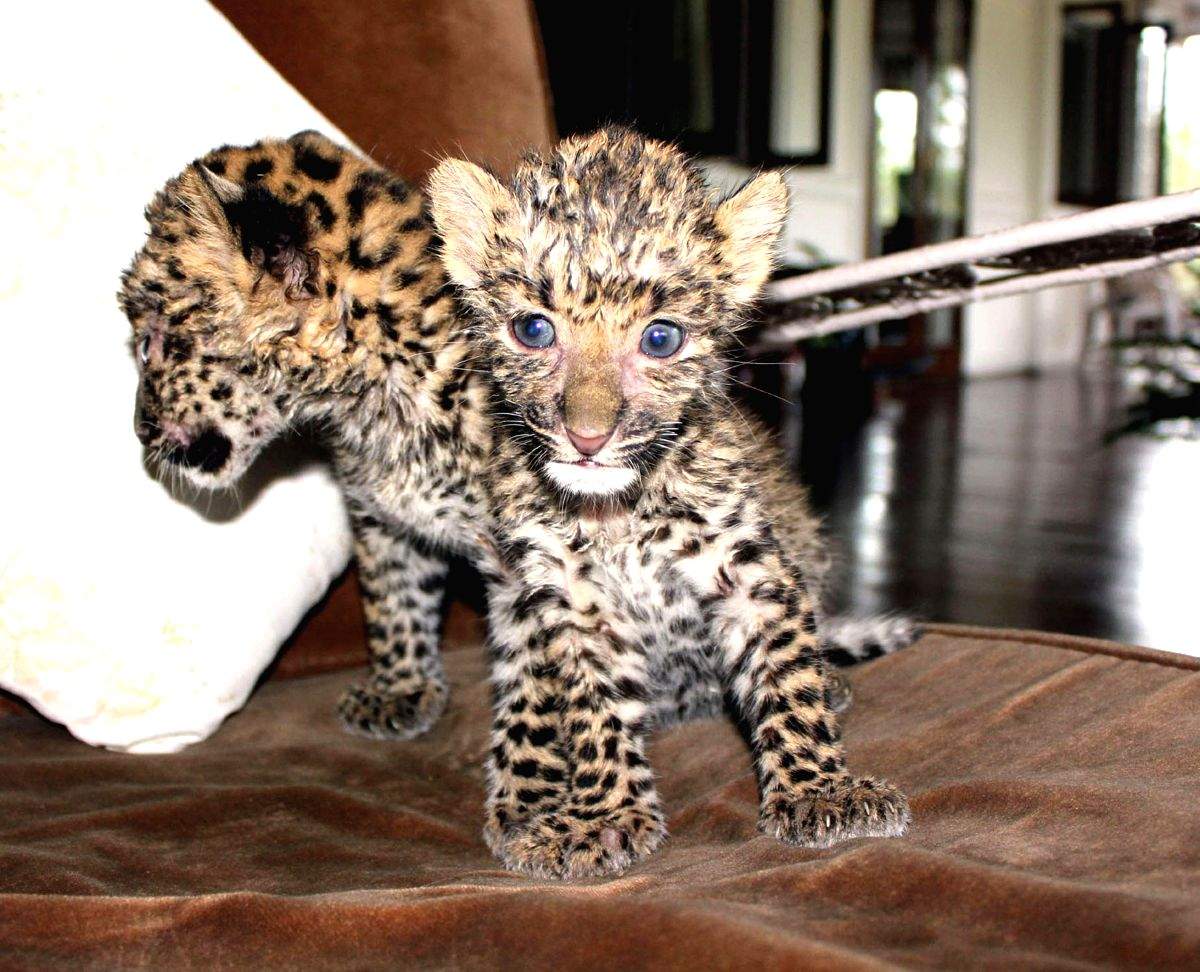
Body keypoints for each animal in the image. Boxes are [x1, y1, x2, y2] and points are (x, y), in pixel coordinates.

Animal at [426, 126, 911, 878]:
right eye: (534, 330)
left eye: (661, 338)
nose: (587, 437)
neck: (617, 514)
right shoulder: (571, 602)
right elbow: (593, 712)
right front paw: (603, 816)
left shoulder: (749, 571)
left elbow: (786, 677)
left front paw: (819, 789)